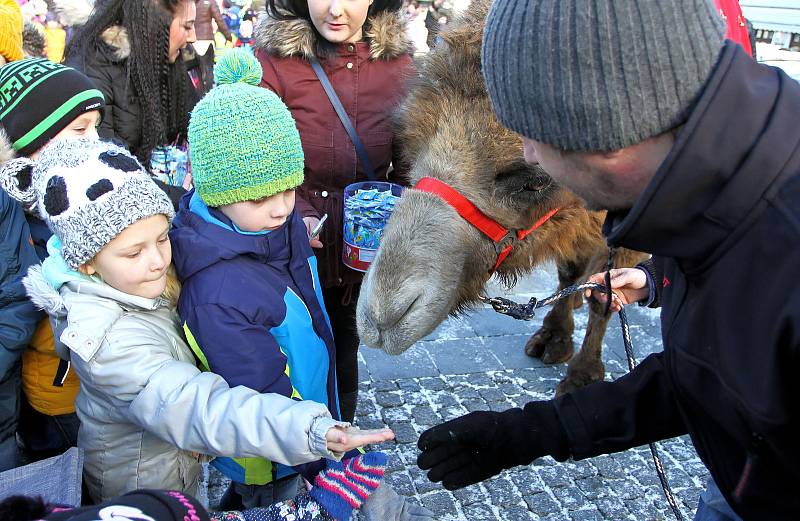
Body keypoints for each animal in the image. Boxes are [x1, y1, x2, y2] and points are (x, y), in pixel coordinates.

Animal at [354, 0, 648, 394]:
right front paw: (554, 338)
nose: (383, 316)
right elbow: (571, 271)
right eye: (406, 144)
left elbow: (608, 293)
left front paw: (582, 374)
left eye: (535, 182)